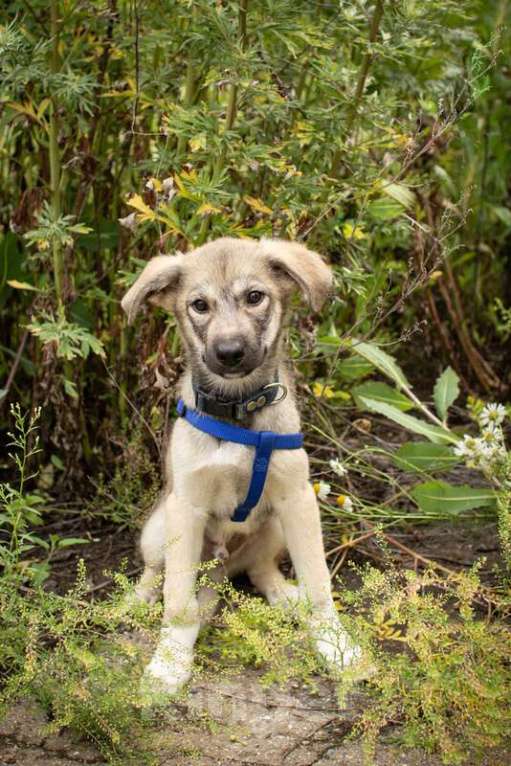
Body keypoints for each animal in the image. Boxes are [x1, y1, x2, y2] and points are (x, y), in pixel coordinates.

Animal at [121, 238, 360, 696]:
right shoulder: (187, 508)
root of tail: (221, 565)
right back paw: (133, 601)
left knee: (261, 567)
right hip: (159, 528)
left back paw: (285, 595)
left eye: (254, 297)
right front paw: (170, 662)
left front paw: (336, 646)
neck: (237, 411)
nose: (229, 353)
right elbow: (178, 602)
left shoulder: (298, 499)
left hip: (277, 526)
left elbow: (320, 584)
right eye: (199, 305)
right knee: (155, 573)